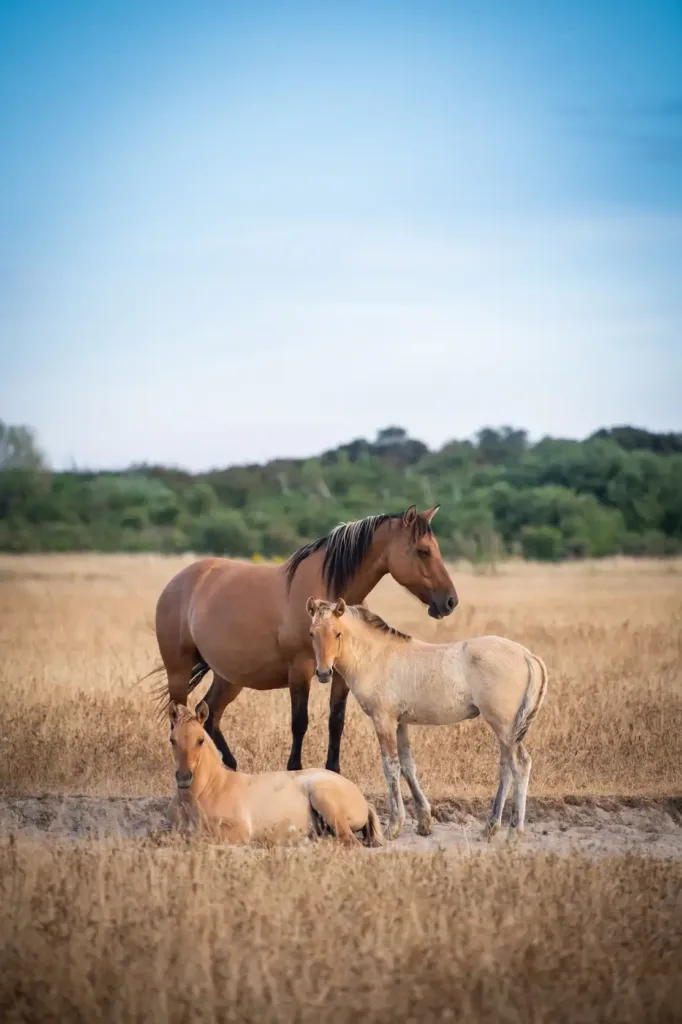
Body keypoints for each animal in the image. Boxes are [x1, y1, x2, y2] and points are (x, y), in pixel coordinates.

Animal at [151, 507, 454, 770]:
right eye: (423, 551)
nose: (451, 601)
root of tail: (178, 581)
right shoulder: (300, 668)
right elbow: (300, 722)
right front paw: (294, 768)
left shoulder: (341, 675)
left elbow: (336, 721)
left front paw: (334, 770)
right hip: (178, 672)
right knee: (179, 718)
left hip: (229, 677)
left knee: (211, 715)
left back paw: (230, 766)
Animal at [307, 598, 548, 843]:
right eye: (311, 634)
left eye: (337, 634)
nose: (324, 673)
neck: (376, 656)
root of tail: (527, 656)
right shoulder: (400, 723)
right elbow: (407, 766)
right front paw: (424, 822)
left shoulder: (383, 720)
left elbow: (390, 767)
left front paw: (393, 826)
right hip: (507, 732)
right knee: (506, 768)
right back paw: (489, 828)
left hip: (505, 727)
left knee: (519, 765)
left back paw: (514, 831)